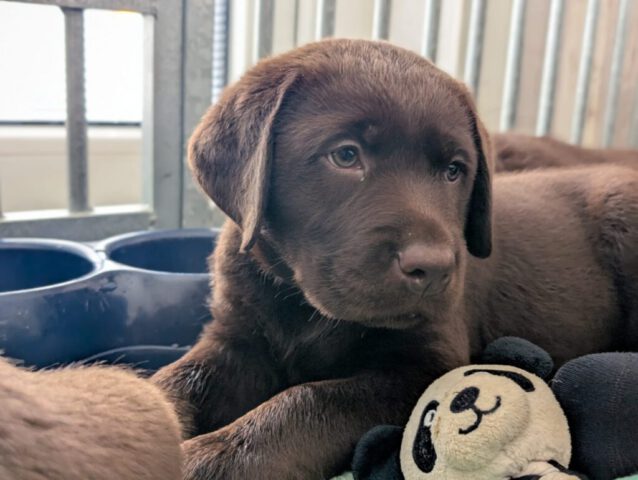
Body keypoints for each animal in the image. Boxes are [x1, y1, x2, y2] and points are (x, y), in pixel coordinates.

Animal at [152, 39, 638, 479]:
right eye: (345, 155)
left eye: (454, 170)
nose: (435, 268)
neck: (301, 301)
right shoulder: (236, 341)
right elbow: (176, 381)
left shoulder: (425, 367)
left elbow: (309, 400)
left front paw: (204, 460)